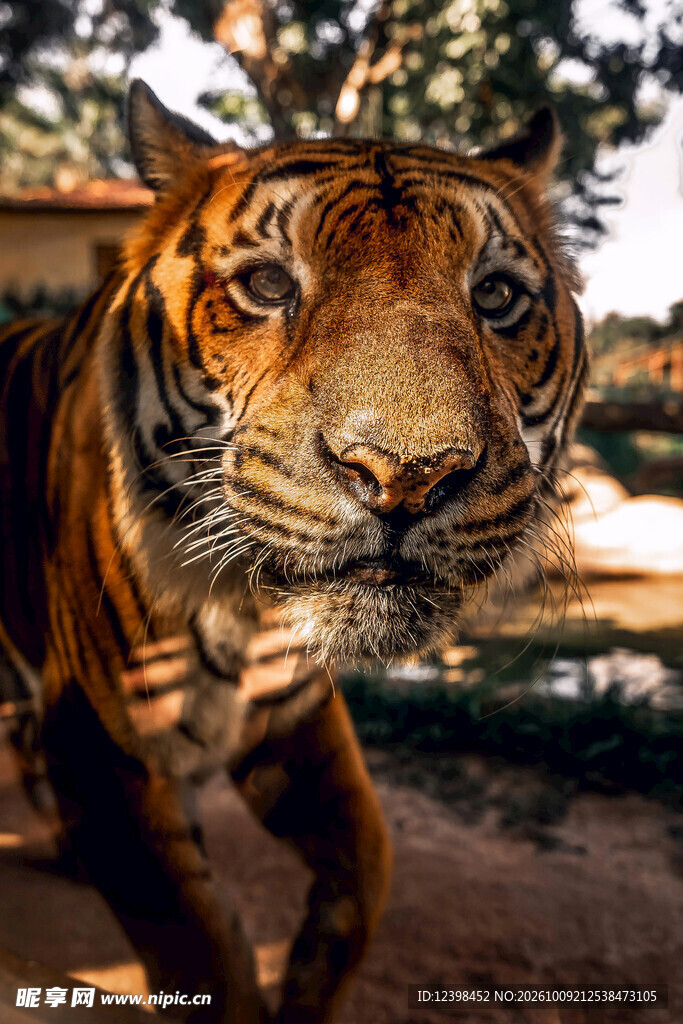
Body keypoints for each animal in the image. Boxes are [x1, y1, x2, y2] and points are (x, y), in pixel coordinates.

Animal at [0, 79, 587, 1023]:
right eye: (268, 284)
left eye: (495, 295)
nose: (405, 477)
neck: (250, 617)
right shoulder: (105, 743)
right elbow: (201, 948)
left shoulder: (301, 717)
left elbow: (370, 865)